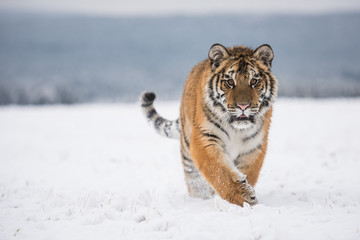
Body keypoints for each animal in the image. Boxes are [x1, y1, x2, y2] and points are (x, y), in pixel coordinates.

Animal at [141, 43, 278, 206]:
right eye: (230, 82)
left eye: (254, 82)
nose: (243, 106)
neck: (237, 129)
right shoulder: (205, 138)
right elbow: (219, 171)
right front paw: (242, 197)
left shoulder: (254, 146)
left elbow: (248, 172)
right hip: (188, 154)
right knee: (195, 182)